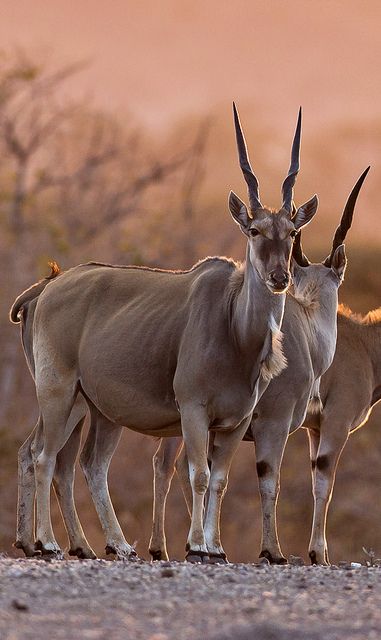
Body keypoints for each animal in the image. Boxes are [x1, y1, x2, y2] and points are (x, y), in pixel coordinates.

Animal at [11, 104, 318, 560]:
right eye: (254, 230)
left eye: (292, 232)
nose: (279, 277)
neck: (235, 328)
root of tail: (48, 287)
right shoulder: (193, 411)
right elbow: (199, 476)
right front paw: (196, 545)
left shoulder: (233, 423)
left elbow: (220, 481)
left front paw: (214, 547)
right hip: (59, 393)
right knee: (44, 456)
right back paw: (47, 542)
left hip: (96, 409)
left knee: (83, 462)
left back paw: (108, 545)